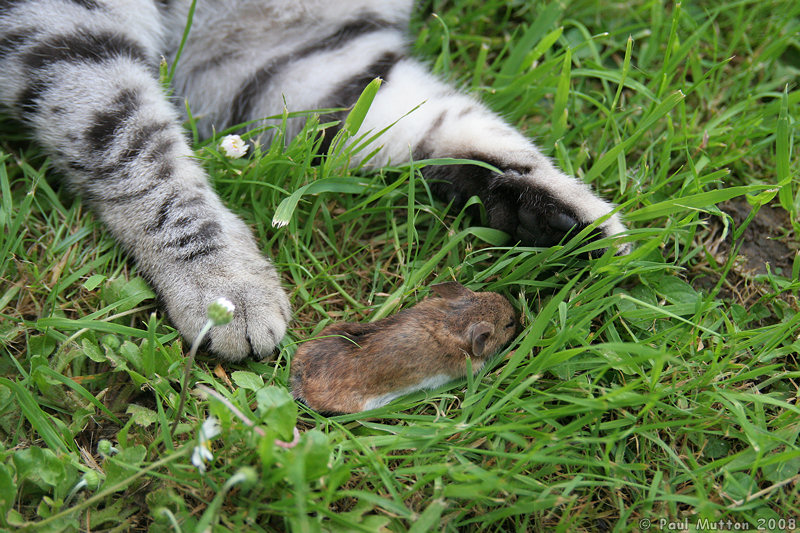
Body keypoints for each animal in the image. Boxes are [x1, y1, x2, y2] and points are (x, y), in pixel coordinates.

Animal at [0, 0, 624, 360]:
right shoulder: (62, 25)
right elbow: (131, 143)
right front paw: (221, 285)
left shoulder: (298, 58)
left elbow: (442, 121)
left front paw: (550, 206)